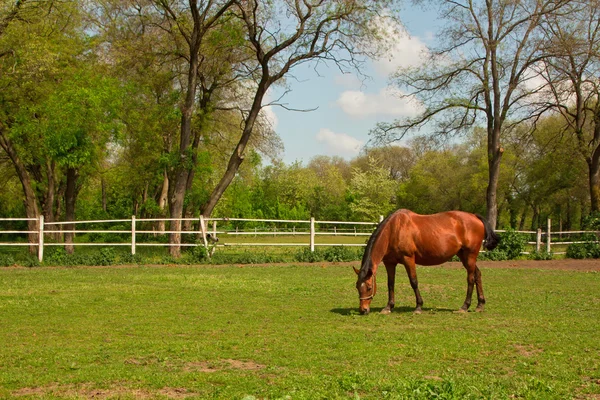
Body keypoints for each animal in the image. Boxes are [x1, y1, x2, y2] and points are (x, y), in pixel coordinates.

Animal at [354, 209, 500, 316]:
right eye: (357, 287)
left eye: (369, 287)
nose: (363, 310)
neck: (394, 230)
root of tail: (475, 217)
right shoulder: (390, 263)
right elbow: (390, 284)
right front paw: (388, 307)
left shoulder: (408, 259)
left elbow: (414, 282)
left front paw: (418, 307)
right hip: (464, 256)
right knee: (477, 275)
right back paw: (480, 305)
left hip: (470, 256)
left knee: (471, 279)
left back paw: (464, 306)